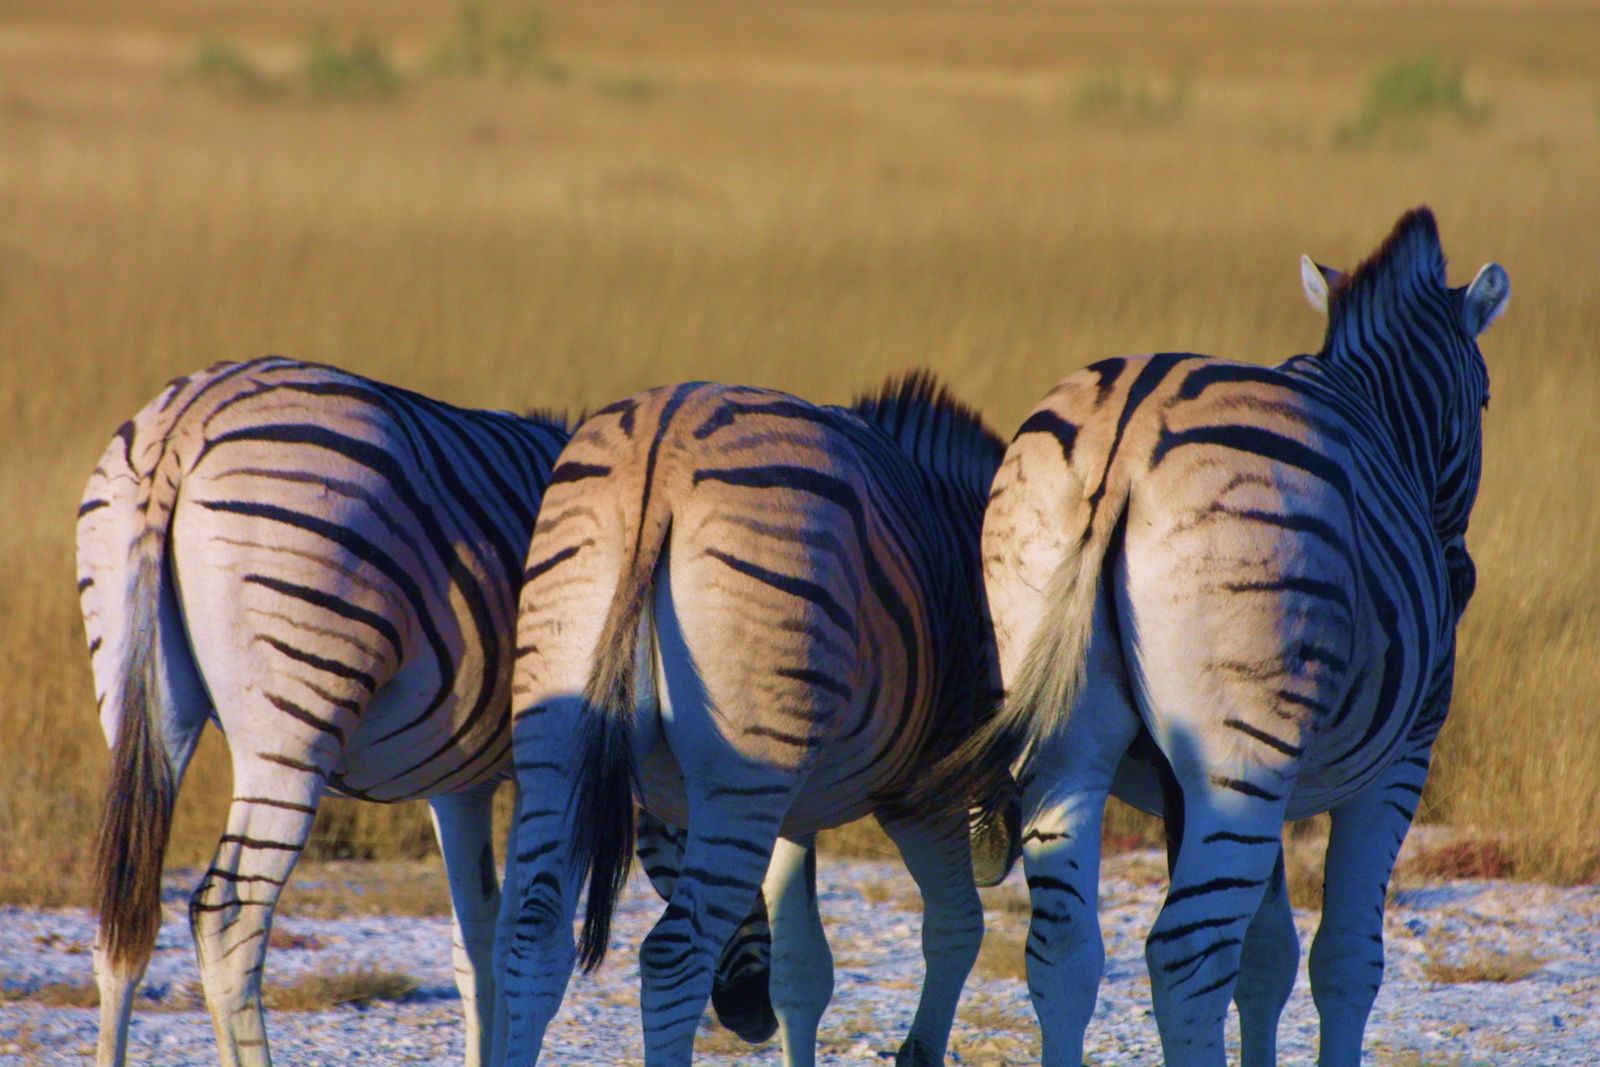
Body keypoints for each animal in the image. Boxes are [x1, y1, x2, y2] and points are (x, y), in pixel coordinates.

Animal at [76, 356, 569, 1067]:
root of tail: (184, 418)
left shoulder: (461, 783)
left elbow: (479, 940)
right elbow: (542, 942)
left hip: (140, 703)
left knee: (120, 921)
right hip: (293, 725)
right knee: (229, 914)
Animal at [493, 374, 1007, 1066]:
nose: (745, 1015)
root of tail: (660, 449)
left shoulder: (795, 806)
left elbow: (802, 970)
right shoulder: (919, 788)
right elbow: (957, 926)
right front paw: (919, 1050)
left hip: (558, 738)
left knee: (536, 941)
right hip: (742, 775)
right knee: (672, 957)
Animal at [900, 208, 1508, 1066]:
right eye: (1484, 400)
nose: (1460, 576)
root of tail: (1126, 432)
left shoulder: (1184, 786)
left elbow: (1267, 956)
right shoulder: (1399, 762)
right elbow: (1344, 957)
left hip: (1068, 732)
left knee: (1064, 948)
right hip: (1244, 752)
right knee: (1186, 955)